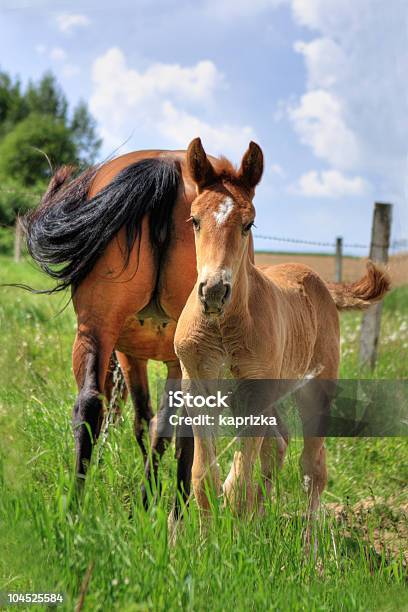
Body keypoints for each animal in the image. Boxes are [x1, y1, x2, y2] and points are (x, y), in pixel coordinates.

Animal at [21, 148, 249, 512]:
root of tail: (169, 166)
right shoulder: (146, 357)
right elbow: (153, 422)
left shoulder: (131, 355)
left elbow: (147, 421)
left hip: (95, 330)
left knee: (90, 405)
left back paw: (79, 508)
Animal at [174, 136, 390, 524]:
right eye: (195, 221)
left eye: (249, 224)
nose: (213, 291)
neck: (224, 328)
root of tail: (320, 282)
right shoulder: (197, 386)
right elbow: (204, 478)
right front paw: (207, 535)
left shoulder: (255, 392)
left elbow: (239, 484)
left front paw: (236, 535)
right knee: (278, 445)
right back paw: (262, 520)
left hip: (316, 388)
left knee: (313, 465)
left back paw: (308, 537)